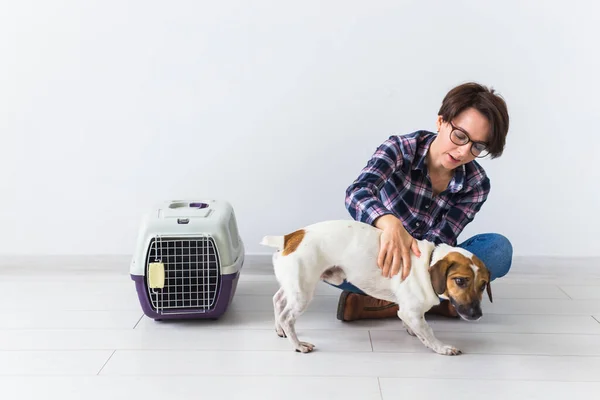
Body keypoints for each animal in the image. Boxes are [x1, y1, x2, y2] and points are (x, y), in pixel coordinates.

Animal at [262, 219, 492, 356]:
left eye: (483, 285)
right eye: (460, 281)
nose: (477, 314)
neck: (429, 261)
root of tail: (289, 238)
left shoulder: (407, 311)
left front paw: (412, 331)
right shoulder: (412, 311)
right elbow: (428, 332)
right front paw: (441, 347)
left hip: (294, 286)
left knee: (277, 300)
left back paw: (279, 329)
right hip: (303, 292)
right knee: (287, 317)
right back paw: (298, 344)